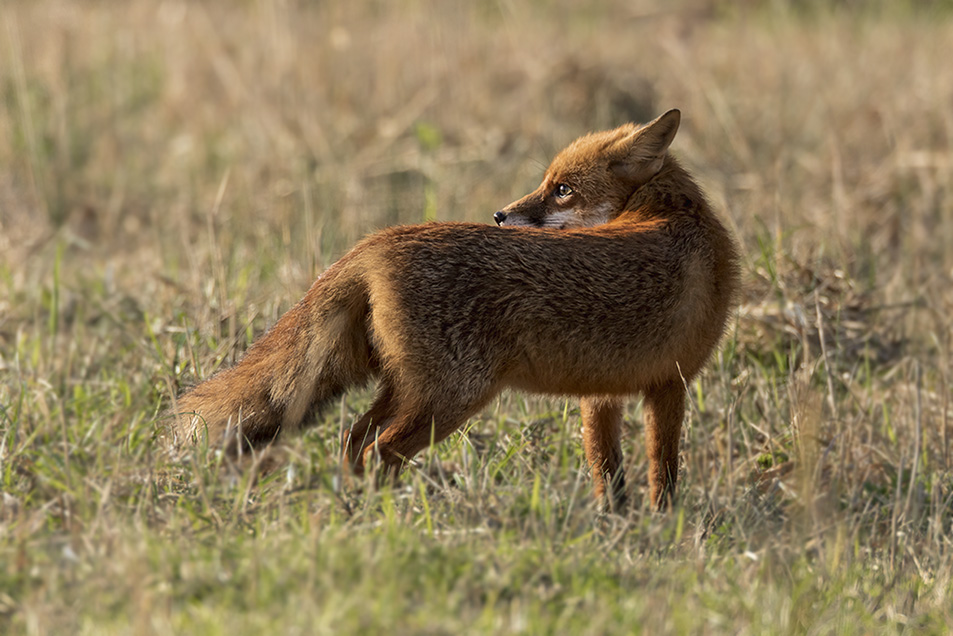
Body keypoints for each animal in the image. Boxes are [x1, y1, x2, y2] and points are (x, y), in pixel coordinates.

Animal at [175, 108, 740, 506]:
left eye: (563, 190)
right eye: (549, 185)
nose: (500, 215)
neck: (673, 214)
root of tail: (379, 240)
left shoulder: (604, 393)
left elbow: (608, 476)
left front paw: (616, 530)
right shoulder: (670, 383)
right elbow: (663, 475)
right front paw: (665, 531)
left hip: (406, 388)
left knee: (352, 441)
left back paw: (354, 512)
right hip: (450, 398)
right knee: (378, 451)